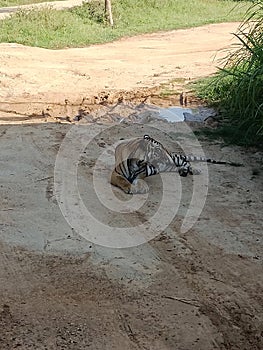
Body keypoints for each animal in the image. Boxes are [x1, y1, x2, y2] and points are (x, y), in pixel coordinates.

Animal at [110, 134, 242, 194]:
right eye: (158, 150)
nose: (167, 154)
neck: (138, 162)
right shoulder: (115, 174)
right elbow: (122, 180)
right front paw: (129, 187)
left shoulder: (141, 173)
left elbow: (138, 179)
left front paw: (141, 186)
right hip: (168, 166)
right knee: (177, 167)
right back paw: (183, 171)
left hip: (176, 159)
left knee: (187, 162)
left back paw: (194, 170)